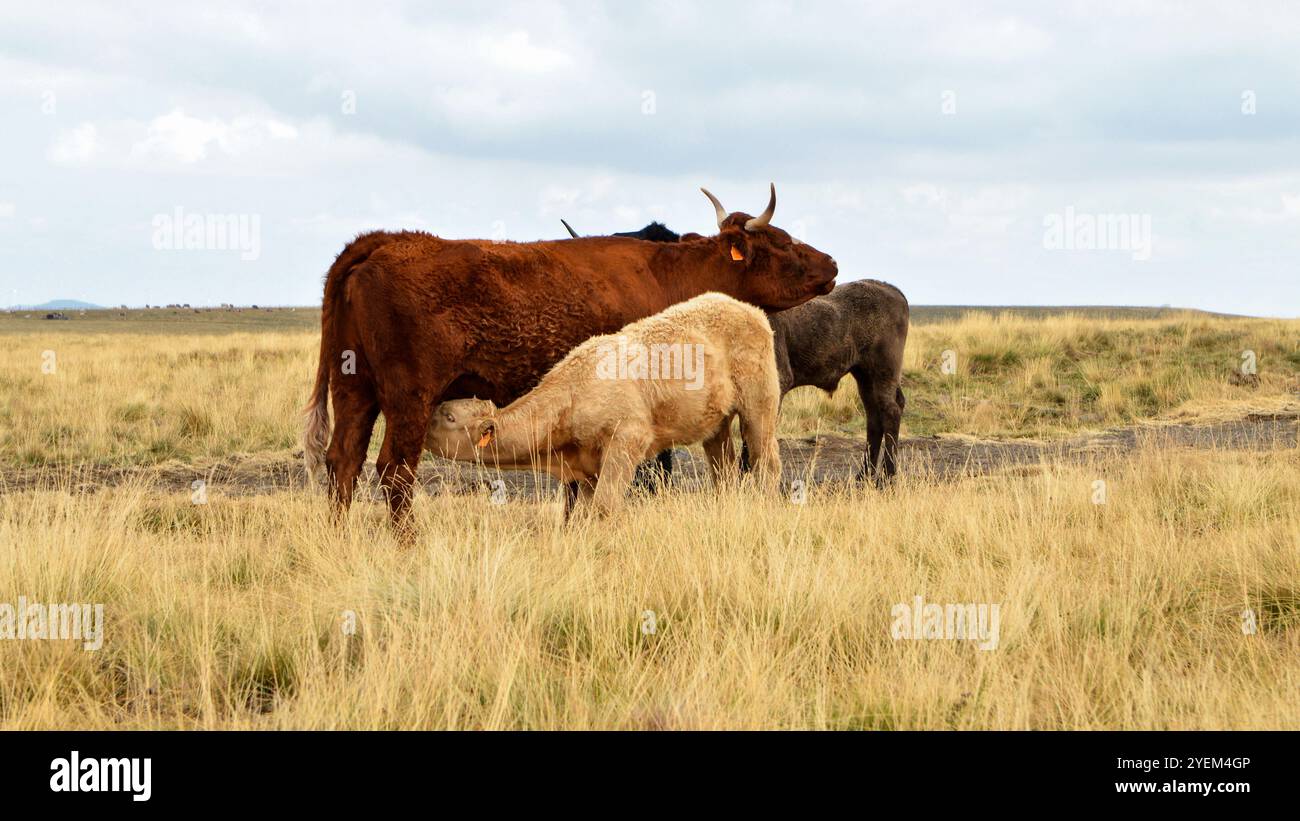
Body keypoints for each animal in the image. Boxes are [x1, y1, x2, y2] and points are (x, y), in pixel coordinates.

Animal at [303, 184, 838, 529]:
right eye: (783, 241)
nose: (832, 263)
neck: (667, 272)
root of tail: (382, 241)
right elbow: (648, 473)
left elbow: (577, 486)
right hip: (408, 398)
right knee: (394, 470)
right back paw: (406, 541)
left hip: (354, 388)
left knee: (342, 461)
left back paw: (339, 537)